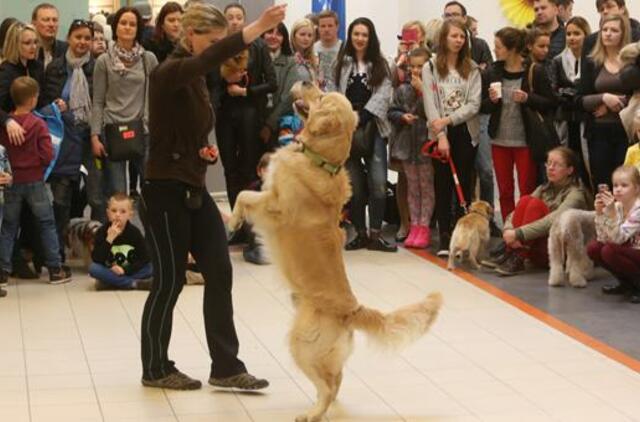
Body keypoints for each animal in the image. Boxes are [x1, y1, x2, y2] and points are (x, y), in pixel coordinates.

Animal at [228, 92, 442, 422]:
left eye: (320, 97)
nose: (304, 83)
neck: (320, 161)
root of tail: (352, 310)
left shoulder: (274, 206)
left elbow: (243, 194)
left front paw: (233, 221)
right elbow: (243, 193)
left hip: (301, 343)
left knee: (328, 386)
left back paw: (312, 413)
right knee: (336, 380)